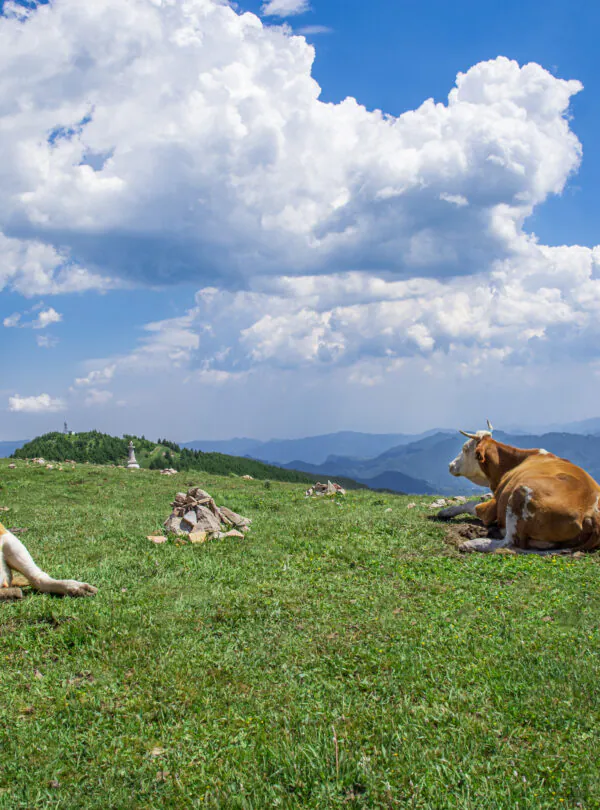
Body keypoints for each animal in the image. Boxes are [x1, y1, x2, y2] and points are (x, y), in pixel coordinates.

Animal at [442, 423, 600, 554]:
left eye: (465, 449)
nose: (450, 465)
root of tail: (591, 512)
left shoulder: (492, 507)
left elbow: (471, 504)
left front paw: (445, 511)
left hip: (520, 494)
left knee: (509, 542)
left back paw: (473, 543)